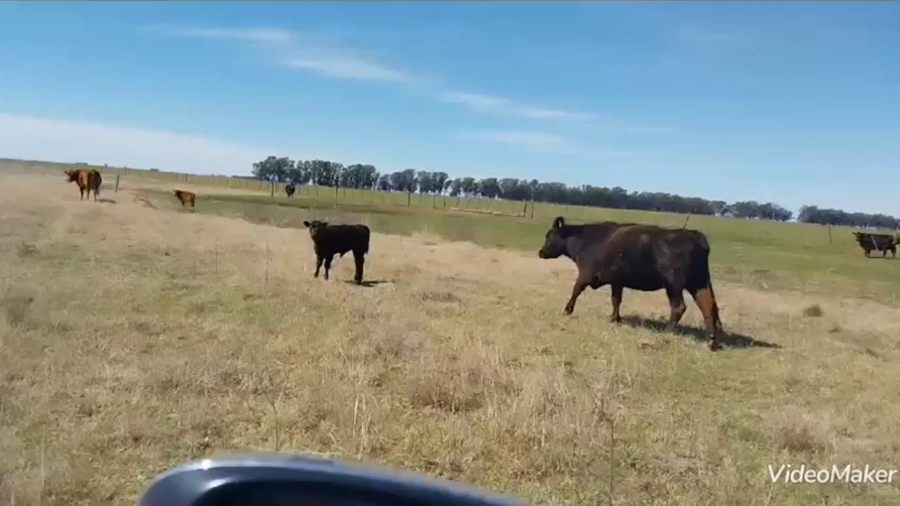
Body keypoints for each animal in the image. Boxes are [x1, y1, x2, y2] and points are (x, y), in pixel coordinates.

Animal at [537, 216, 724, 351]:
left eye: (550, 236)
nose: (540, 252)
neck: (585, 240)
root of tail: (694, 235)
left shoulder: (585, 274)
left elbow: (575, 290)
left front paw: (567, 310)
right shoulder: (617, 281)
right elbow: (616, 300)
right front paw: (615, 318)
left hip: (674, 285)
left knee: (679, 307)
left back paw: (667, 331)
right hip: (698, 283)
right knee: (708, 305)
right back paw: (711, 341)